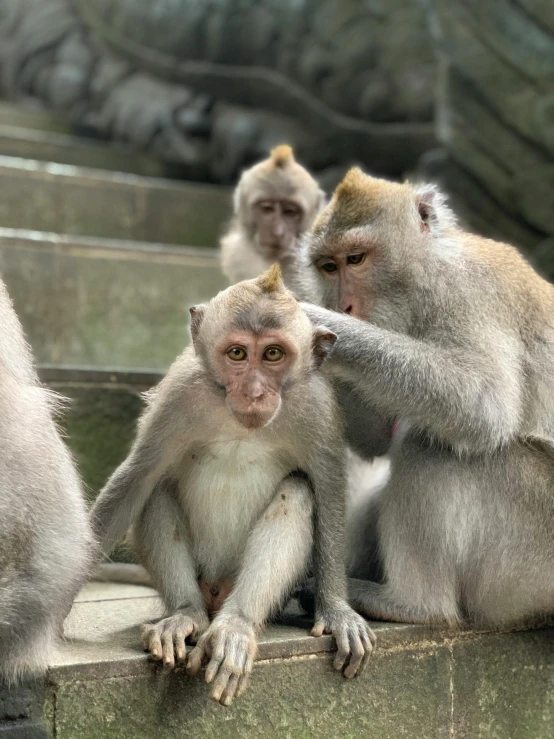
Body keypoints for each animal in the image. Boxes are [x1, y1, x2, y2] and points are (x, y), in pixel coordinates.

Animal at [90, 264, 374, 704]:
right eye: (237, 353)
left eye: (273, 354)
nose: (254, 393)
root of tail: (215, 597)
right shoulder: (180, 394)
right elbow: (136, 479)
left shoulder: (316, 408)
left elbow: (327, 492)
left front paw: (337, 610)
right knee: (157, 488)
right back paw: (185, 615)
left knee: (298, 491)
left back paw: (235, 626)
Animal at [288, 169, 552, 632]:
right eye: (328, 266)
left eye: (356, 259)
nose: (344, 306)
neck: (426, 275)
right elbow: (375, 439)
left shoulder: (466, 294)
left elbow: (484, 404)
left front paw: (318, 321)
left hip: (533, 547)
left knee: (431, 445)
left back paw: (413, 604)